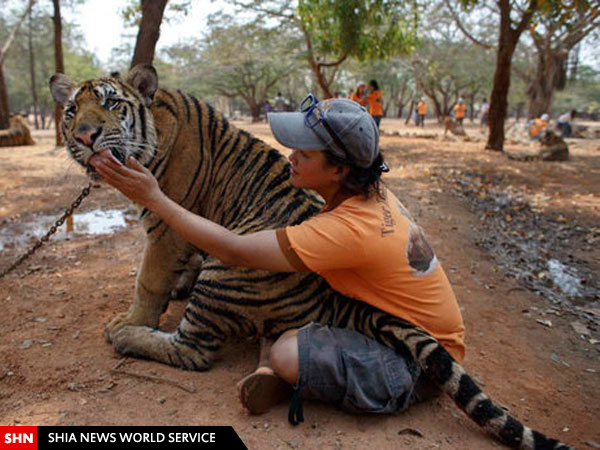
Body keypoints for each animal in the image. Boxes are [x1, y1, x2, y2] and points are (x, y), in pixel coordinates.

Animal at [49, 64, 568, 450]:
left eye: (111, 104)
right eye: (71, 110)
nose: (85, 136)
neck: (156, 129)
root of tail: (336, 300)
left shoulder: (166, 228)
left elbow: (148, 279)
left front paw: (131, 317)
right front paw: (167, 293)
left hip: (227, 266)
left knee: (193, 350)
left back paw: (129, 336)